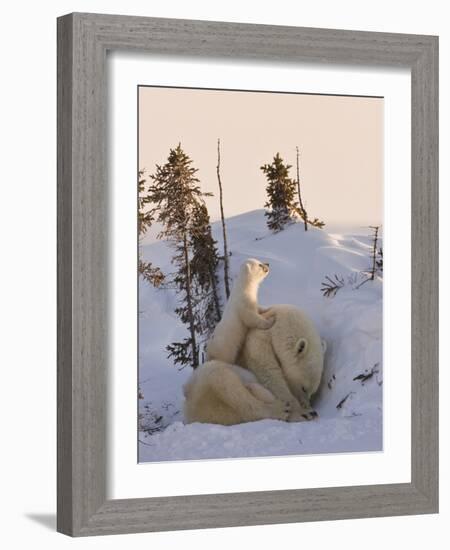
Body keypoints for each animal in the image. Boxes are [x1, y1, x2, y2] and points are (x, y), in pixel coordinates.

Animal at [184, 304, 326, 424]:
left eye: (312, 392)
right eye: (304, 388)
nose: (308, 405)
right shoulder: (258, 341)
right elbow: (269, 374)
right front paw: (303, 411)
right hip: (205, 381)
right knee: (227, 384)